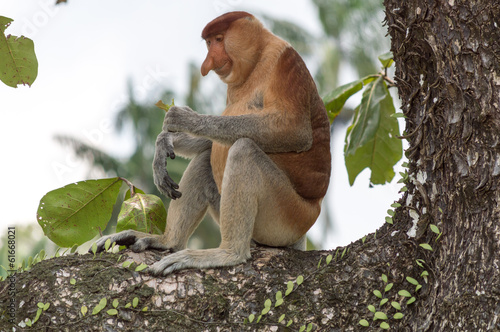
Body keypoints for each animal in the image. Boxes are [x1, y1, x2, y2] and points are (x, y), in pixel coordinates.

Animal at [95, 11, 334, 274]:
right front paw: (163, 144)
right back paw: (167, 242)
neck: (257, 59)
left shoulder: (285, 61)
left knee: (244, 150)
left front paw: (185, 119)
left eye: (219, 39)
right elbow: (209, 146)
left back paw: (228, 253)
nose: (207, 62)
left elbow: (296, 131)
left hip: (288, 217)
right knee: (204, 160)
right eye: (209, 43)